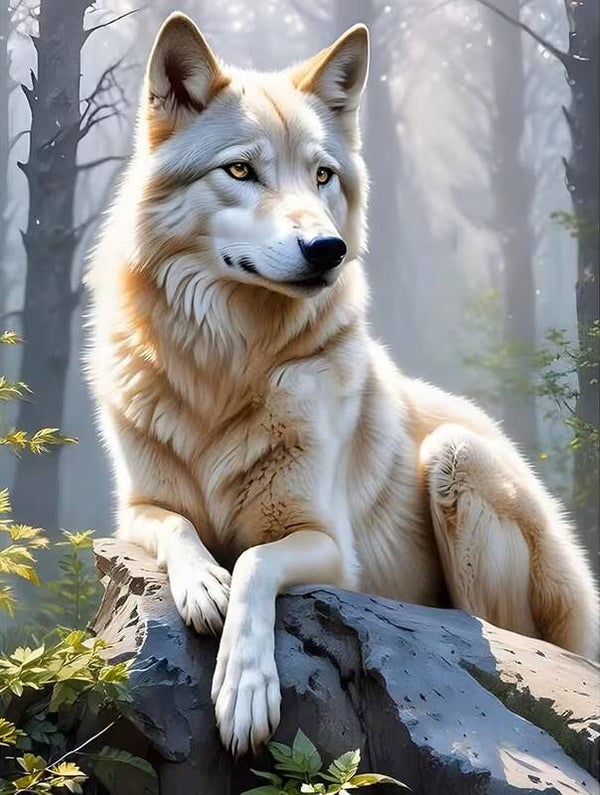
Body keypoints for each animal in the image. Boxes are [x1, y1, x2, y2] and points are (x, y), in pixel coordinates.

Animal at [86, 12, 599, 756]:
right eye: (240, 170)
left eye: (323, 175)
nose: (327, 249)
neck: (226, 362)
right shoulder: (135, 510)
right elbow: (182, 529)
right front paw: (203, 582)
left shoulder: (329, 547)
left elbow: (254, 563)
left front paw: (244, 691)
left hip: (456, 457)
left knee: (505, 635)